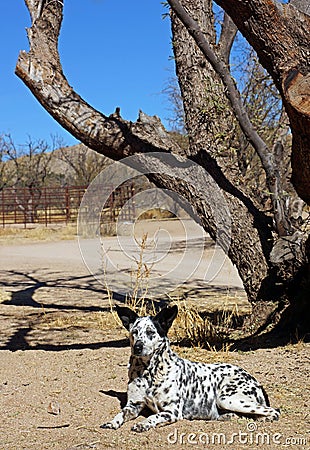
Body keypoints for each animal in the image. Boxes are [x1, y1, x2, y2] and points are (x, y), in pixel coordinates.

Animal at [100, 306, 280, 432]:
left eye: (151, 332)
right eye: (135, 332)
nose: (137, 347)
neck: (149, 372)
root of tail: (255, 381)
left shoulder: (171, 411)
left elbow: (154, 416)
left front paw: (144, 423)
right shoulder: (133, 405)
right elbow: (121, 413)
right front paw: (112, 422)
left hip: (227, 398)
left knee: (274, 411)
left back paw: (262, 418)